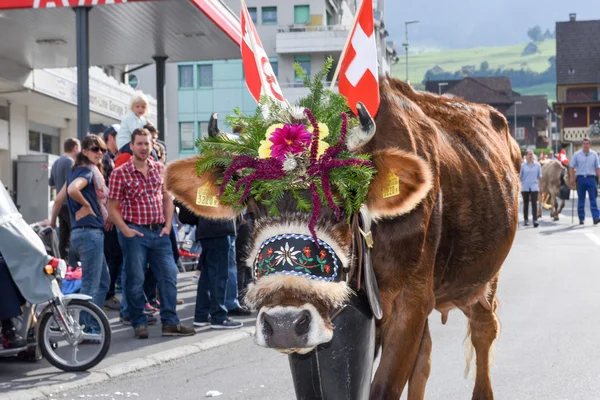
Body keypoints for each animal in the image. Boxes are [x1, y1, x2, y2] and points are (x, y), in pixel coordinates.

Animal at [166, 76, 524, 398]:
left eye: (340, 208)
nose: (284, 324)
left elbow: (384, 387)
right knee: (425, 358)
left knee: (483, 331)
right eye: (250, 214)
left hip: (485, 279)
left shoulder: (412, 302)